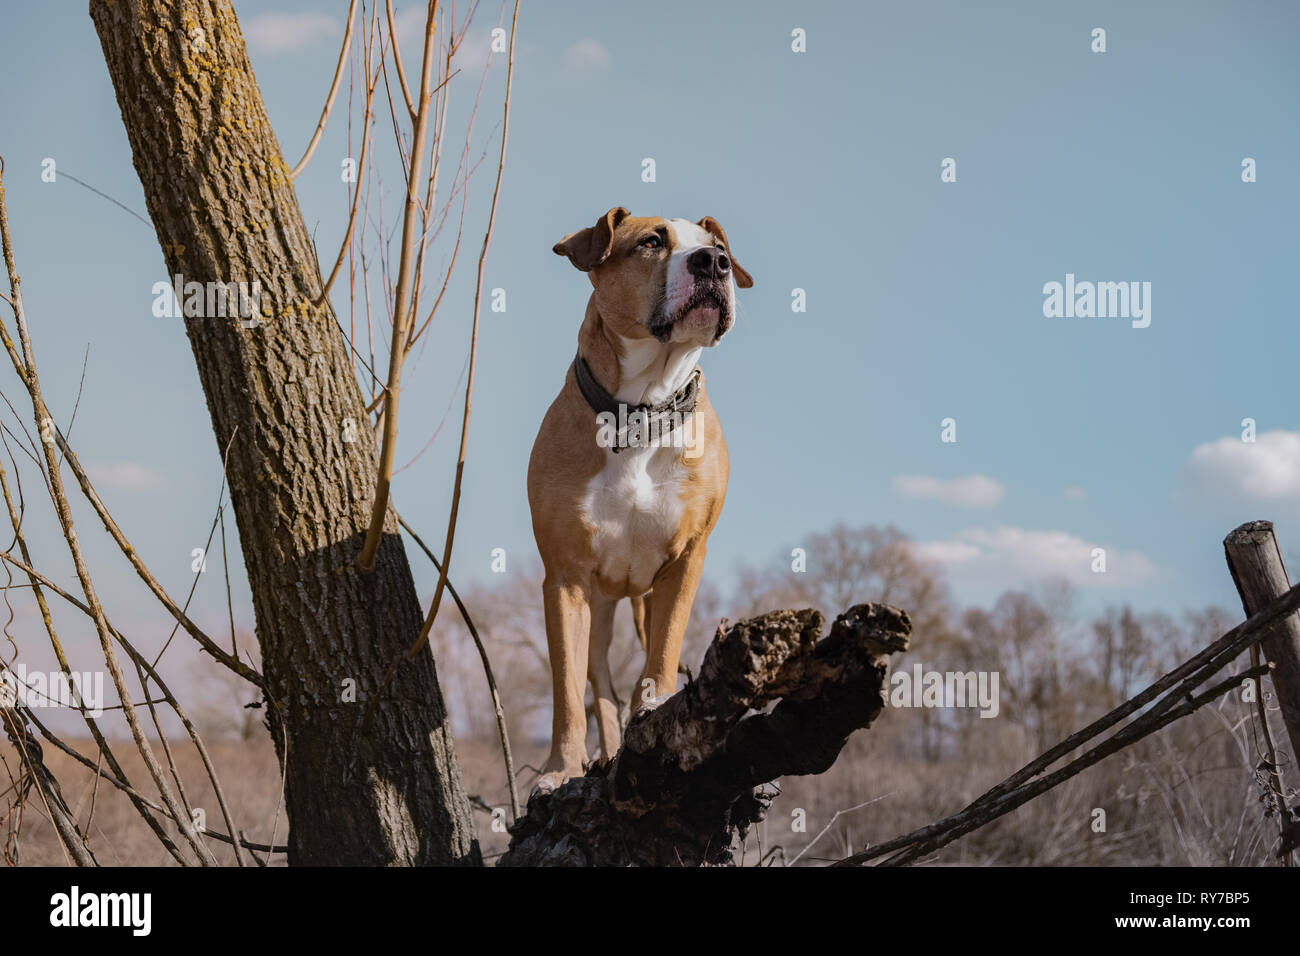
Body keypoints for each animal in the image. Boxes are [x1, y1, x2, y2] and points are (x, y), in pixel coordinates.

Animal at [525, 208, 754, 790]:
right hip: (599, 605)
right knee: (599, 687)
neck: (642, 411)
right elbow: (567, 693)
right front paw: (561, 769)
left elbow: (663, 654)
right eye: (651, 242)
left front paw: (653, 709)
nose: (713, 262)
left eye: (719, 247)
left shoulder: (685, 560)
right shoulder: (565, 578)